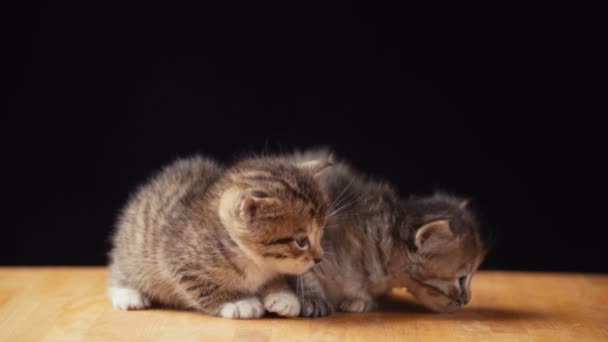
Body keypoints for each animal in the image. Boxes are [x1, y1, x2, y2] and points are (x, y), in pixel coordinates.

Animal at [107, 154, 330, 320]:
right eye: (301, 241)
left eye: (321, 234)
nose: (319, 258)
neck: (252, 260)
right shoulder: (179, 261)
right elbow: (204, 287)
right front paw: (239, 302)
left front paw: (283, 296)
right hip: (133, 247)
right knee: (121, 271)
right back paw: (127, 294)